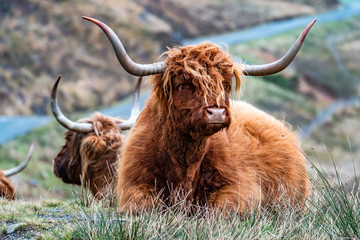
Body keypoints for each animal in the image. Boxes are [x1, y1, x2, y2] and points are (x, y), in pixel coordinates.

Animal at [83, 15, 316, 213]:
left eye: (225, 84)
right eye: (183, 83)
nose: (217, 112)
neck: (184, 163)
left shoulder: (242, 187)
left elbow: (220, 210)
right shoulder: (133, 184)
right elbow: (142, 206)